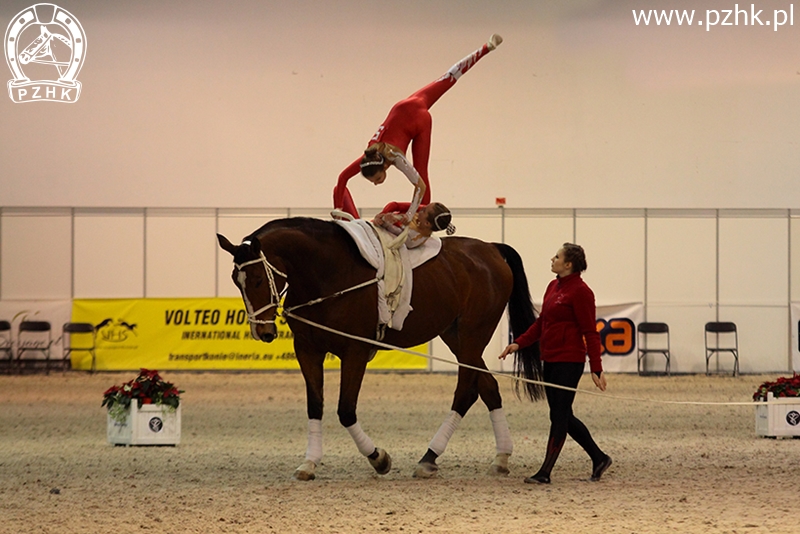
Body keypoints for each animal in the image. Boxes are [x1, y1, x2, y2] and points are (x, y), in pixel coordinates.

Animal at [219, 218, 544, 482]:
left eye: (258, 279)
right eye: (237, 281)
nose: (263, 332)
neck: (326, 272)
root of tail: (491, 249)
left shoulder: (355, 350)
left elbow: (345, 410)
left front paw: (379, 459)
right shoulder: (307, 350)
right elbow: (315, 405)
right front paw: (309, 464)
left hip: (473, 334)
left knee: (466, 390)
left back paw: (429, 458)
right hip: (455, 336)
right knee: (487, 387)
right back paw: (501, 457)